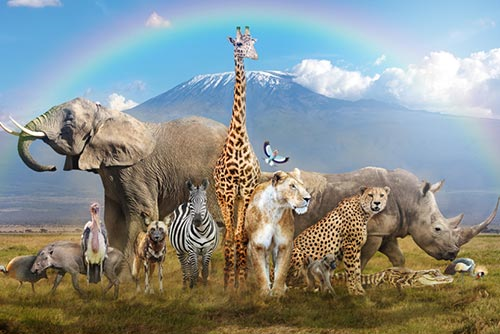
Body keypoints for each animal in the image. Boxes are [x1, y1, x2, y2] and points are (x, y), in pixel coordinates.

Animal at [0, 98, 227, 260]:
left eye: (69, 120)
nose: (52, 167)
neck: (106, 114)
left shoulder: (134, 169)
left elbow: (142, 213)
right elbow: (114, 219)